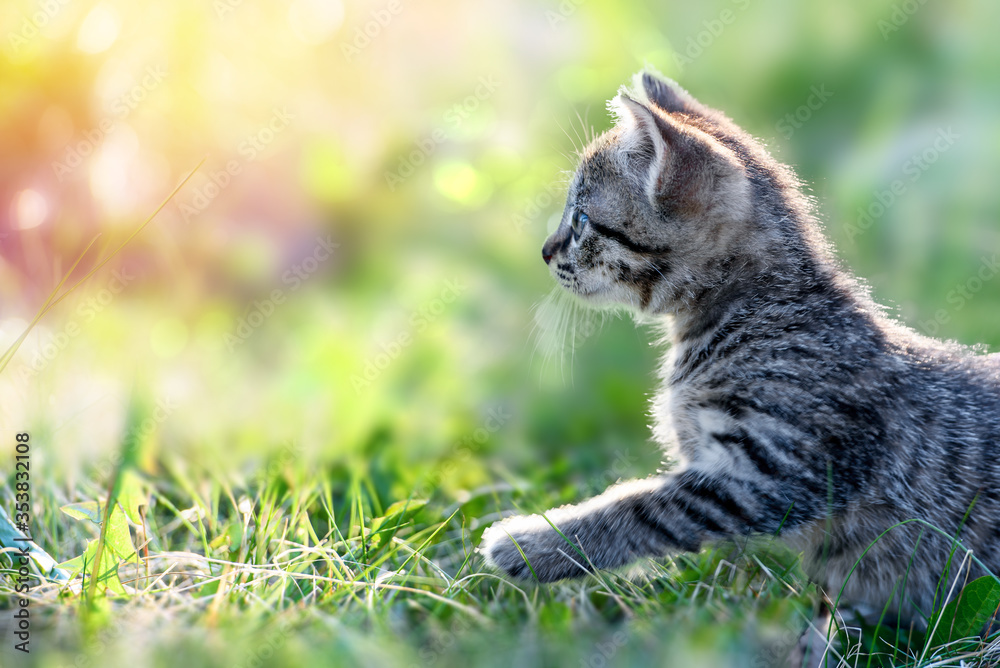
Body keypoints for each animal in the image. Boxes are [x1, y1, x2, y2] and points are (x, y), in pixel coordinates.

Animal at [478, 69, 1000, 640]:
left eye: (581, 219)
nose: (545, 251)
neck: (749, 311)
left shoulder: (772, 475)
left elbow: (639, 507)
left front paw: (534, 543)